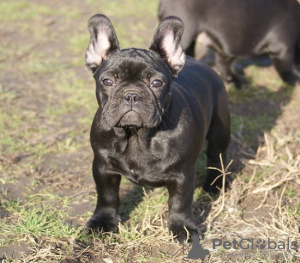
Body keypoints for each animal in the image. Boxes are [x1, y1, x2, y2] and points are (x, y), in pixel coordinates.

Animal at [84, 13, 230, 241]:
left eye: (156, 83)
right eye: (107, 81)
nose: (132, 94)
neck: (136, 135)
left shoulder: (182, 174)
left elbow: (180, 202)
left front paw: (183, 228)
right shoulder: (103, 167)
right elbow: (107, 196)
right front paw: (102, 222)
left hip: (219, 132)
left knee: (216, 157)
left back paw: (214, 185)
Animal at [161, 0, 300, 88]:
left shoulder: (227, 48)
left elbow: (224, 64)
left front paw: (233, 80)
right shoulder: (281, 50)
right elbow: (286, 69)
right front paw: (295, 80)